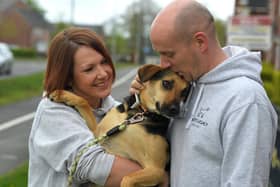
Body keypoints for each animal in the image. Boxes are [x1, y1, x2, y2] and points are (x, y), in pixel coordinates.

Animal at [49, 63, 190, 186]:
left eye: (184, 93)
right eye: (166, 83)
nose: (175, 110)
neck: (139, 113)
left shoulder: (157, 170)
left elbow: (127, 178)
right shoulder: (98, 133)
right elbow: (84, 102)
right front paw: (62, 94)